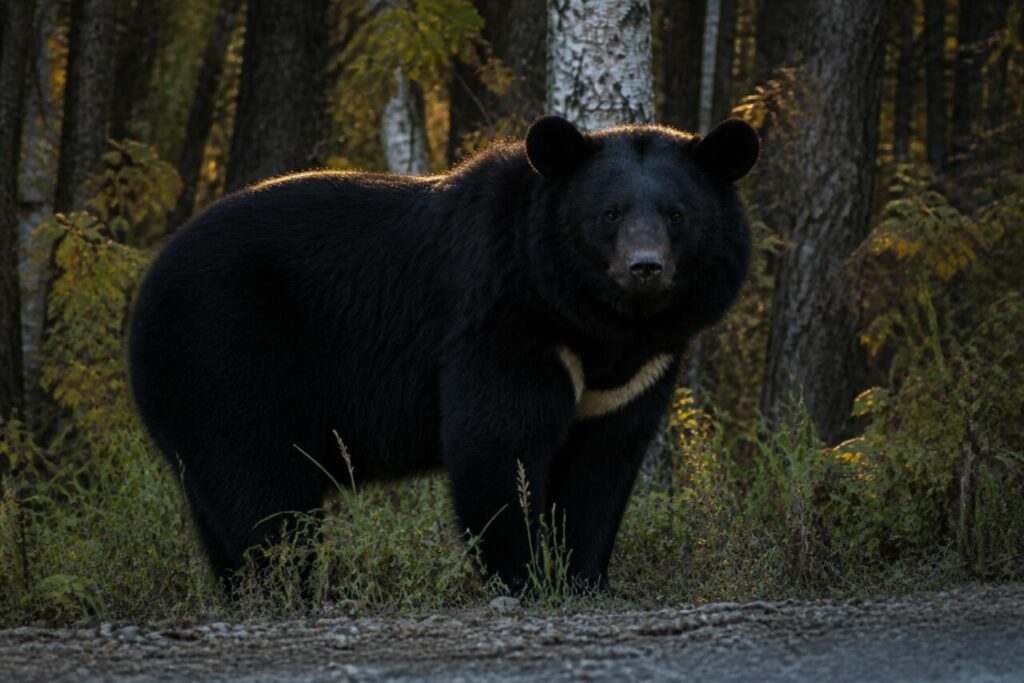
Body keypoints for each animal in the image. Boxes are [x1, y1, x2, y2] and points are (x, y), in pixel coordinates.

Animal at [128, 116, 758, 595]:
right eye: (611, 213)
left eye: (676, 215)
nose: (644, 267)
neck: (595, 320)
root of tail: (149, 279)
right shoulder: (503, 320)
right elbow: (499, 443)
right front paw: (525, 577)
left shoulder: (638, 369)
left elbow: (602, 463)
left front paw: (585, 579)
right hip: (224, 350)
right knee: (261, 484)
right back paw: (290, 587)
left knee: (221, 498)